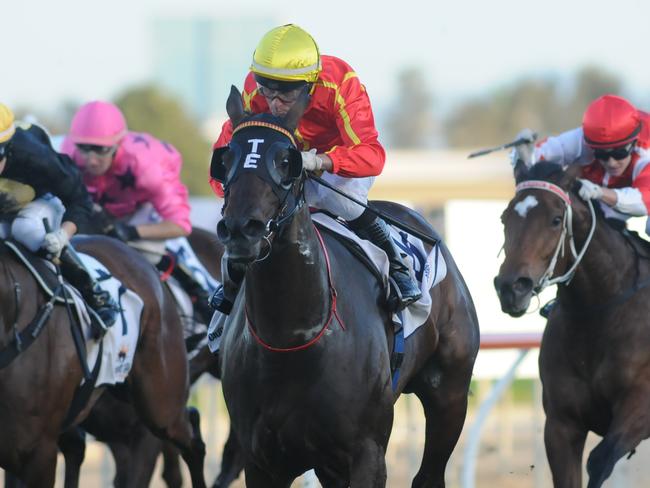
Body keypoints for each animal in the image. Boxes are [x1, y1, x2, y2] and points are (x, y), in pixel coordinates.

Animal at [210, 87, 478, 488]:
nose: (243, 230)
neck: (292, 338)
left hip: (450, 393)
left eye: (286, 160)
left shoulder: (367, 453)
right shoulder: (263, 463)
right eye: (226, 159)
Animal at [494, 161, 648, 488]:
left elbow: (600, 460)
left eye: (555, 220)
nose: (511, 287)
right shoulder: (561, 424)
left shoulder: (640, 405)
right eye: (504, 218)